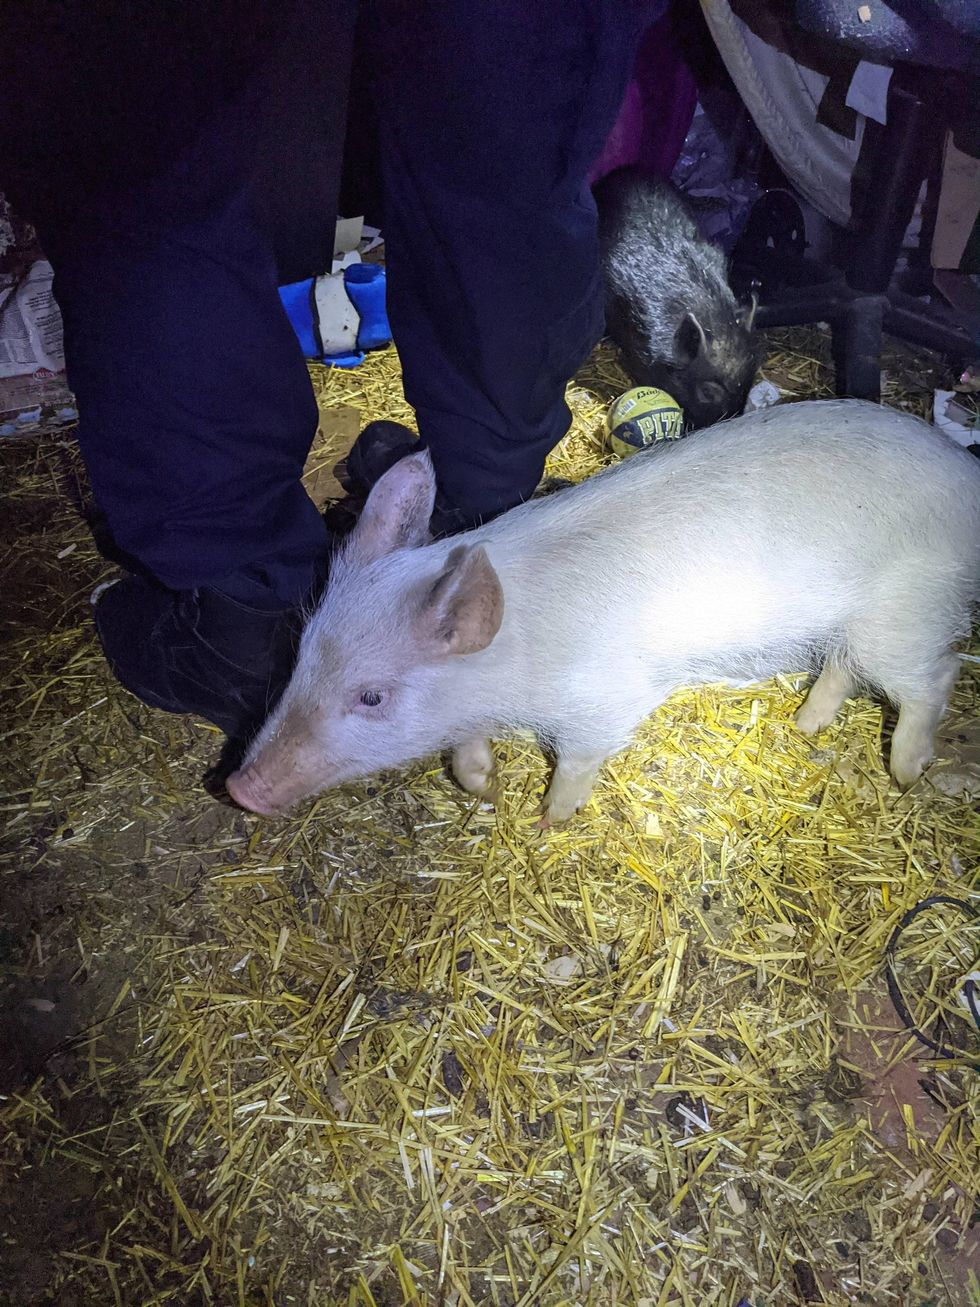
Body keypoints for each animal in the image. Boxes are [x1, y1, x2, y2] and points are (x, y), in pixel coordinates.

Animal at [226, 400, 980, 823]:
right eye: (299, 657)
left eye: (372, 696)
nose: (238, 786)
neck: (511, 660)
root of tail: (963, 473)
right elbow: (466, 742)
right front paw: (482, 785)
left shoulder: (609, 698)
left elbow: (581, 756)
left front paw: (548, 818)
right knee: (845, 667)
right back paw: (804, 724)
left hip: (904, 608)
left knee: (933, 675)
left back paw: (906, 772)